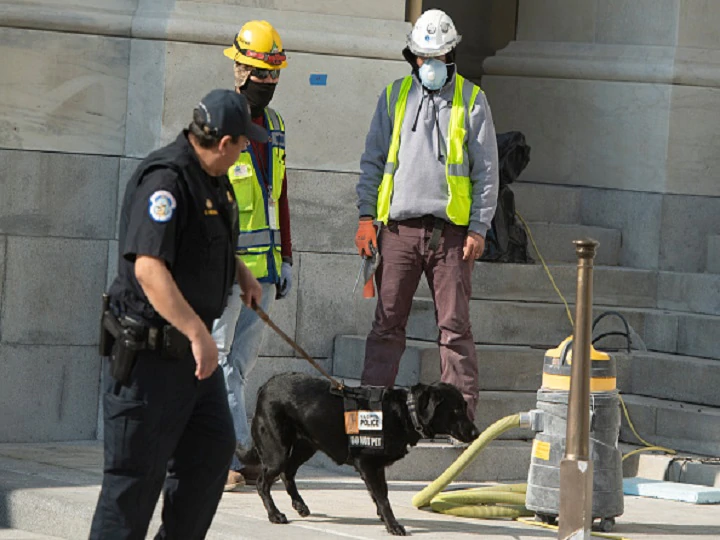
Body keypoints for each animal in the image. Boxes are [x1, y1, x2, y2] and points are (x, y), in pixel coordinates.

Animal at [236, 372, 480, 536]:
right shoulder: (369, 464)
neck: (405, 412)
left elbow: (380, 494)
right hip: (277, 451)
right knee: (263, 482)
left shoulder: (376, 468)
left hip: (307, 445)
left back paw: (299, 504)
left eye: (465, 407)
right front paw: (392, 524)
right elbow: (382, 497)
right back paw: (274, 514)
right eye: (456, 410)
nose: (476, 433)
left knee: (288, 473)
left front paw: (383, 517)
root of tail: (265, 386)